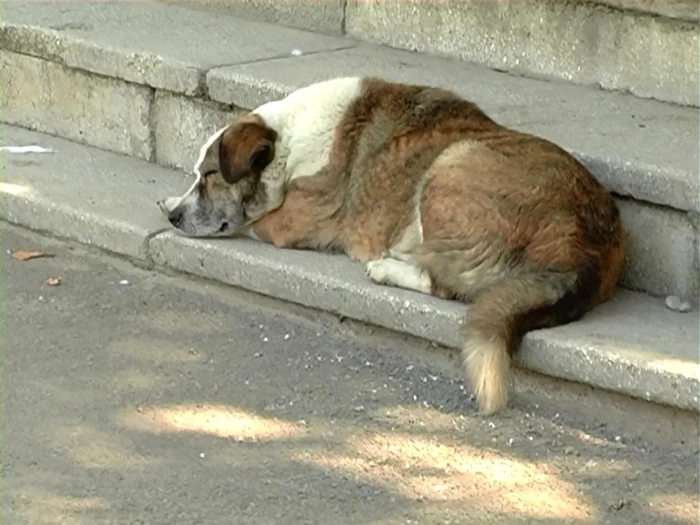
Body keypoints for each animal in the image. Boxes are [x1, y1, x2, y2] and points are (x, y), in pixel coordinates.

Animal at [161, 77, 628, 414]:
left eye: (210, 177)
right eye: (197, 175)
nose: (173, 218)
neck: (286, 143)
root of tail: (580, 243)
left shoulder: (290, 222)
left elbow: (254, 222)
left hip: (450, 162)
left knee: (446, 284)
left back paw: (388, 266)